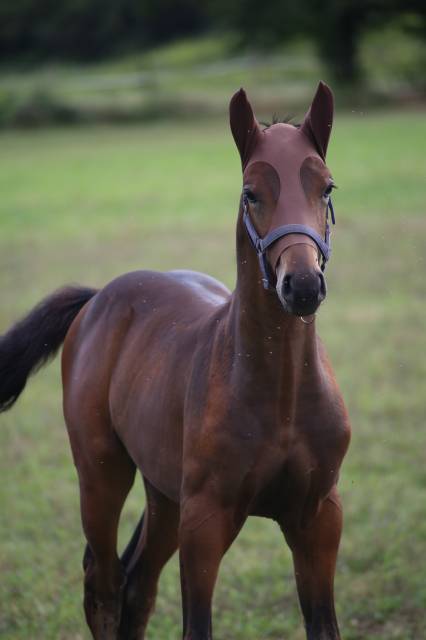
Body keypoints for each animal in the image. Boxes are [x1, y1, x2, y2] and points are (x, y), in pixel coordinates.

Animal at [0, 82, 351, 640]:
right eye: (250, 193)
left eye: (327, 188)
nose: (301, 285)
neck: (281, 395)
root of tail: (99, 296)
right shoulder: (204, 523)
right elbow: (196, 625)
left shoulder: (319, 518)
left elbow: (324, 625)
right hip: (101, 474)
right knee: (103, 583)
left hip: (163, 492)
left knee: (137, 584)